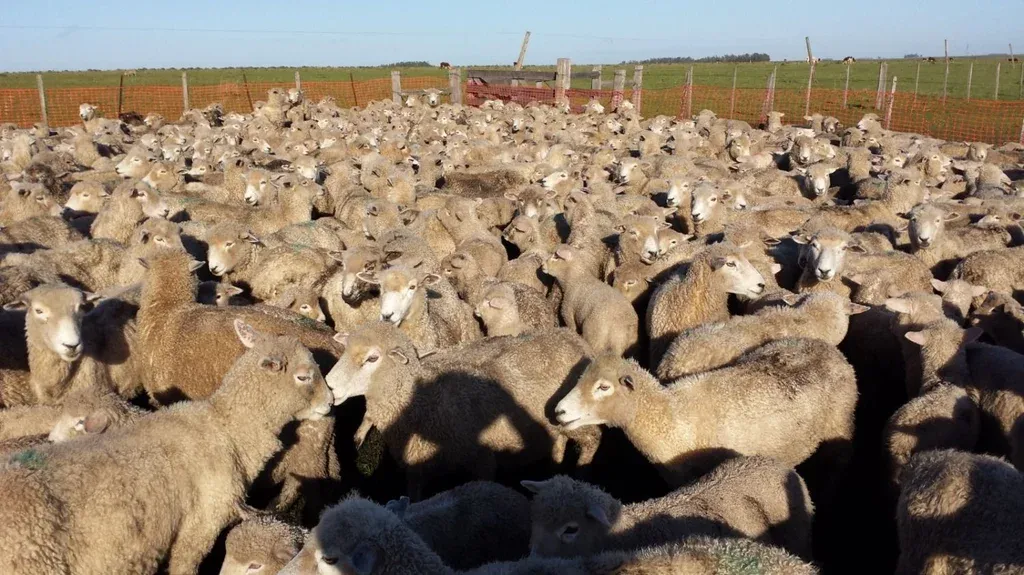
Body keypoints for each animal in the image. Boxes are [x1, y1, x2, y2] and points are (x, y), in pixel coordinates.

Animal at [326, 324, 600, 500]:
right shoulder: (416, 466)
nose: (329, 385)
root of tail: (571, 336)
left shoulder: (483, 460)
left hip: (577, 419)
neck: (421, 401)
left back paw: (582, 477)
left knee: (592, 440)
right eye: (345, 351)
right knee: (559, 441)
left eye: (372, 358)